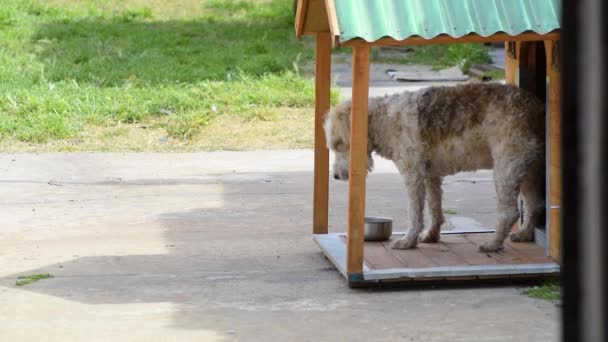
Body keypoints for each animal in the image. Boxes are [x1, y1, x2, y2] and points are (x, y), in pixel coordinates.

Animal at [326, 83, 544, 252]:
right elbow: (434, 207)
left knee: (509, 212)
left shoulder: (413, 175)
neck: (384, 120)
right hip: (528, 170)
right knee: (534, 204)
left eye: (339, 144)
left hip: (506, 169)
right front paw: (431, 235)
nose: (335, 176)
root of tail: (534, 106)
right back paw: (524, 234)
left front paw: (408, 241)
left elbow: (415, 213)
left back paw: (492, 244)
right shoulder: (430, 175)